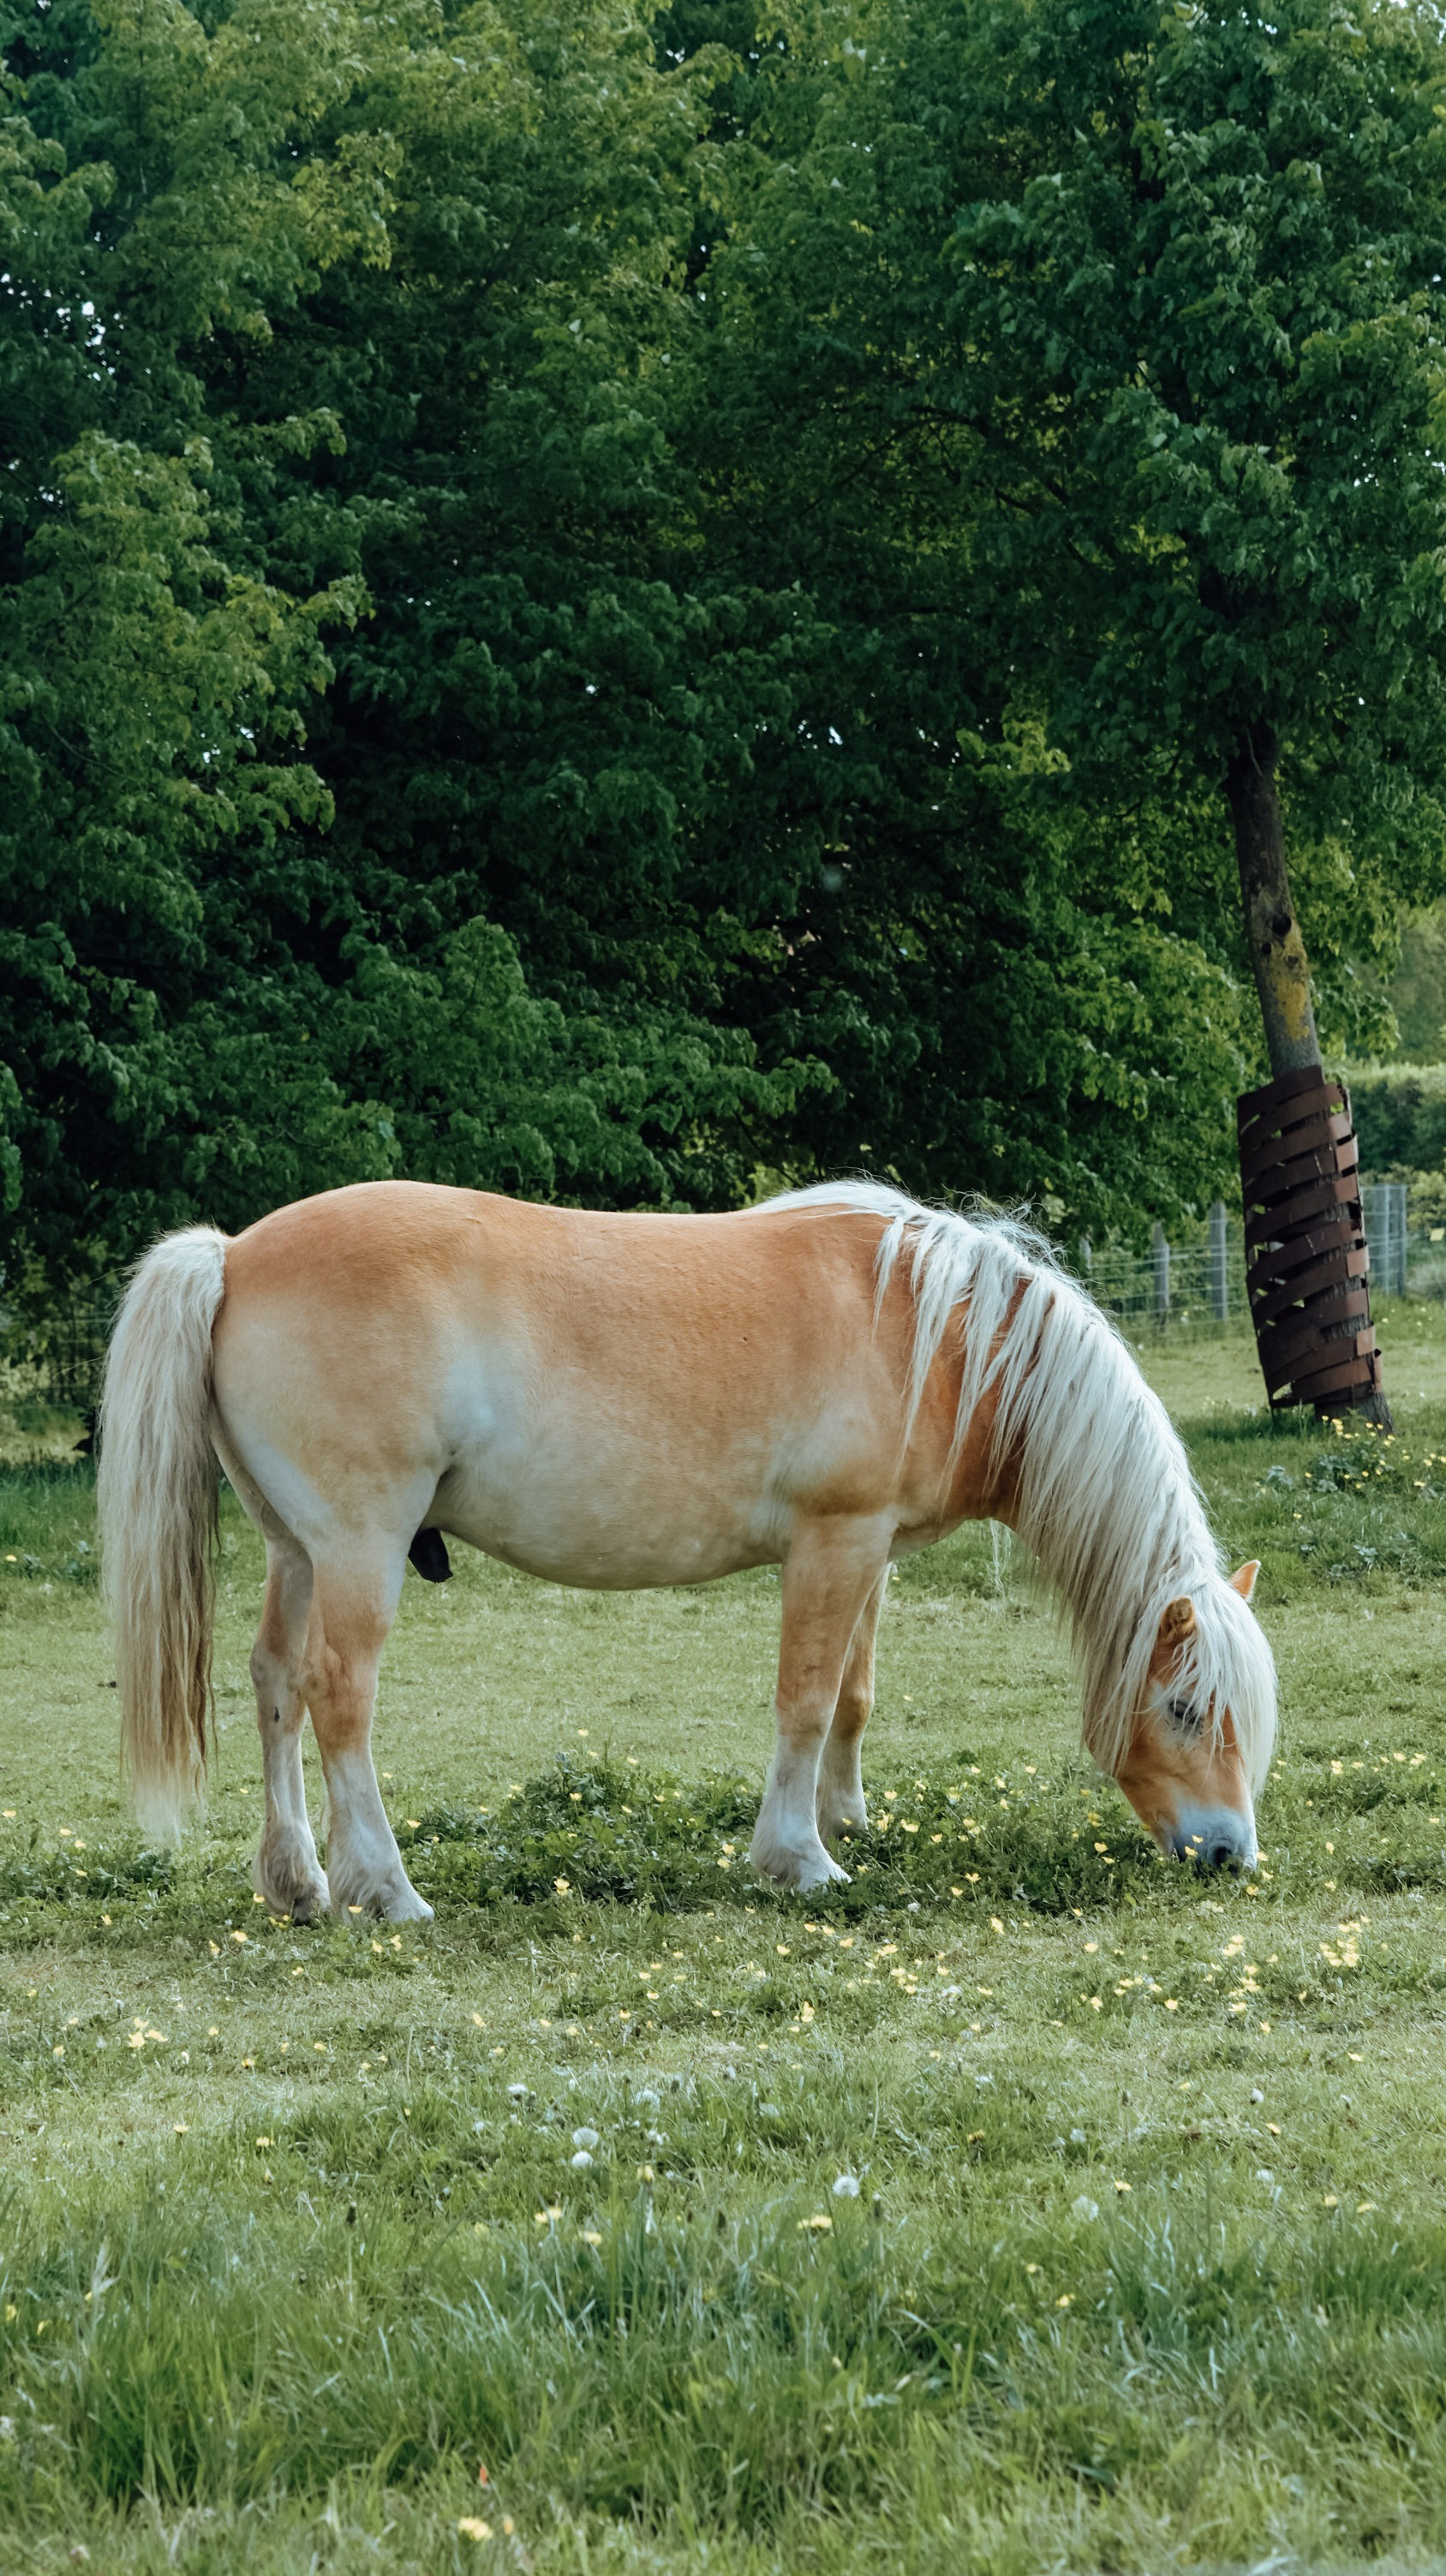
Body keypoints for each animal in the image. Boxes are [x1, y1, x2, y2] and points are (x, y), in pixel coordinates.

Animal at [96, 1179, 1275, 1921]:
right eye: (1181, 1707)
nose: (1228, 1853)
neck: (939, 1334)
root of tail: (234, 1252)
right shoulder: (833, 1541)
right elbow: (804, 1698)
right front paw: (798, 1858)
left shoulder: (870, 1550)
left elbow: (850, 1696)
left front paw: (846, 1820)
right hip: (358, 1546)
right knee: (339, 1696)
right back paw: (385, 1889)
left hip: (296, 1550)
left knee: (275, 1686)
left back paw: (299, 1884)